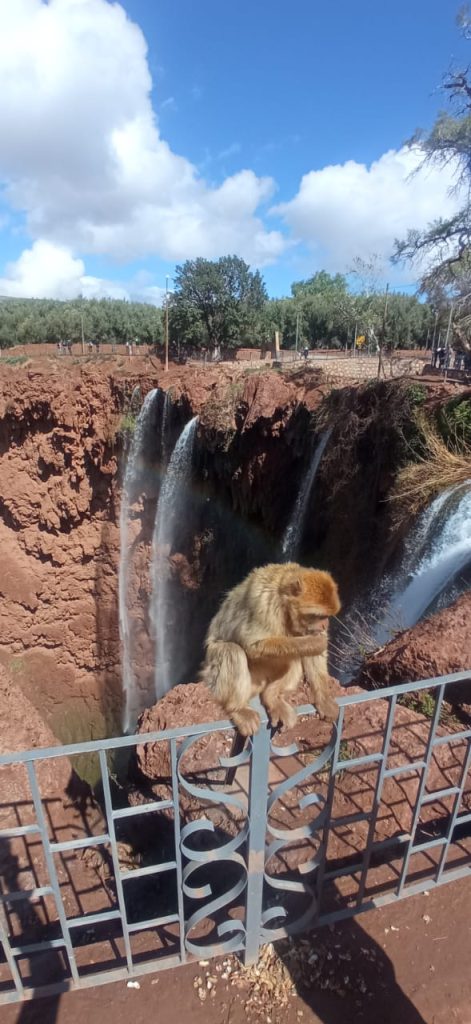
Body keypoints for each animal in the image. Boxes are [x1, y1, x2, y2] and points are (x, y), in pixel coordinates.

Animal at [200, 561, 339, 737]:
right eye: (318, 616)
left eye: (326, 616)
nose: (325, 625)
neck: (284, 605)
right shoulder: (264, 602)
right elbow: (253, 645)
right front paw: (313, 643)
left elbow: (314, 655)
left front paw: (324, 700)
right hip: (214, 672)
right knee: (232, 651)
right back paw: (238, 709)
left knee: (293, 658)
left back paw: (272, 697)